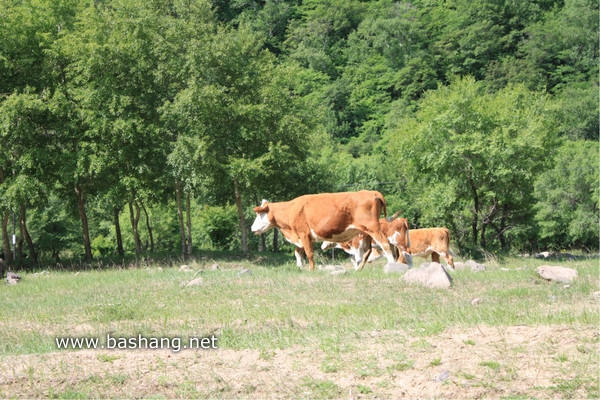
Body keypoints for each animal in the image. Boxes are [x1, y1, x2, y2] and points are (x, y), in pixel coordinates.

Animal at [251, 191, 396, 272]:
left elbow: (309, 254)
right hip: (366, 233)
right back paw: (359, 269)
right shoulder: (302, 237)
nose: (252, 228)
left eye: (259, 214)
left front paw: (311, 269)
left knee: (386, 244)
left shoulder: (303, 234)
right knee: (367, 251)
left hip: (373, 228)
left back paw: (392, 265)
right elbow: (298, 252)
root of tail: (373, 192)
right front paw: (300, 267)